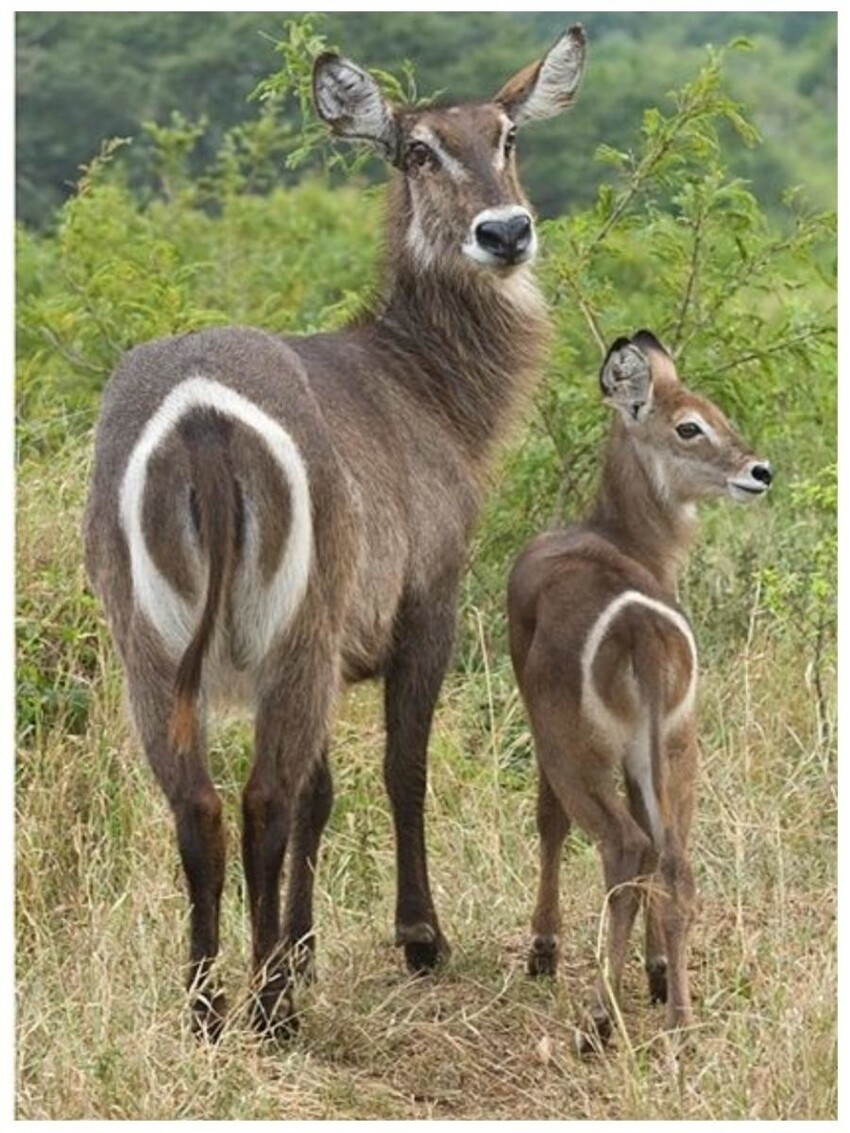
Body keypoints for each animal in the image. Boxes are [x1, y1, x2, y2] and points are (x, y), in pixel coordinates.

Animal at [83, 26, 589, 1037]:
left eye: (508, 135)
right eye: (418, 150)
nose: (505, 232)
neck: (422, 386)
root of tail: (201, 416)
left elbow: (322, 796)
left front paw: (305, 946)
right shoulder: (430, 598)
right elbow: (399, 768)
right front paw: (418, 938)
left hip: (149, 645)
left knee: (198, 804)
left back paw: (209, 1006)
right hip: (295, 633)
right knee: (261, 798)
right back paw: (269, 1008)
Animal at [510, 330, 775, 1046]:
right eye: (690, 424)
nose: (759, 471)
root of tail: (638, 628)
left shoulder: (547, 731)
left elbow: (549, 822)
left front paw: (544, 952)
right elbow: (659, 855)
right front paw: (658, 973)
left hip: (579, 750)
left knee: (623, 845)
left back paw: (599, 1016)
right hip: (677, 748)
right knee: (673, 859)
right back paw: (679, 1019)